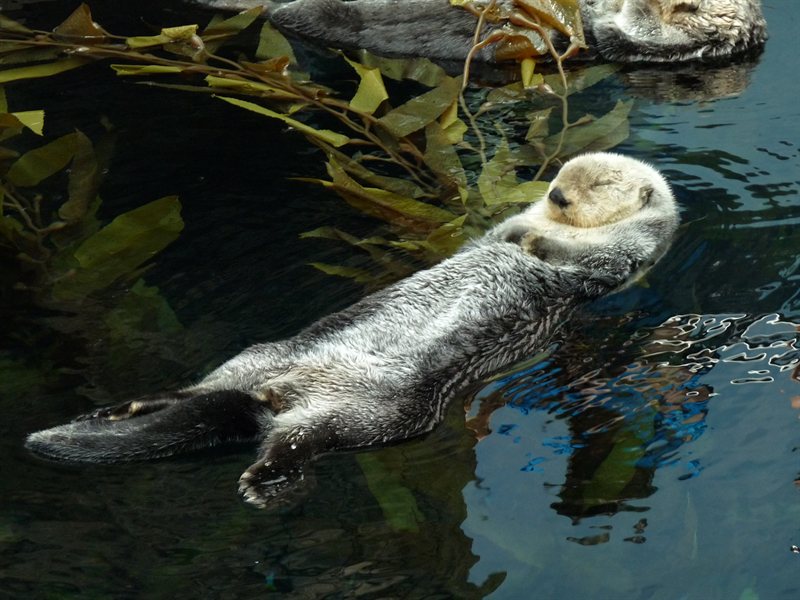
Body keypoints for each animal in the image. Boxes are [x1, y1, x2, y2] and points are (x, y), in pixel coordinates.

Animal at [26, 153, 679, 507]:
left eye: (599, 186)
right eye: (561, 174)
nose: (558, 194)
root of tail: (278, 396)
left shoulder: (621, 259)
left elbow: (581, 260)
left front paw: (538, 242)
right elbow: (501, 233)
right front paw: (521, 231)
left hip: (379, 417)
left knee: (296, 443)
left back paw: (265, 482)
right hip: (262, 356)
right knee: (202, 392)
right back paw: (126, 408)